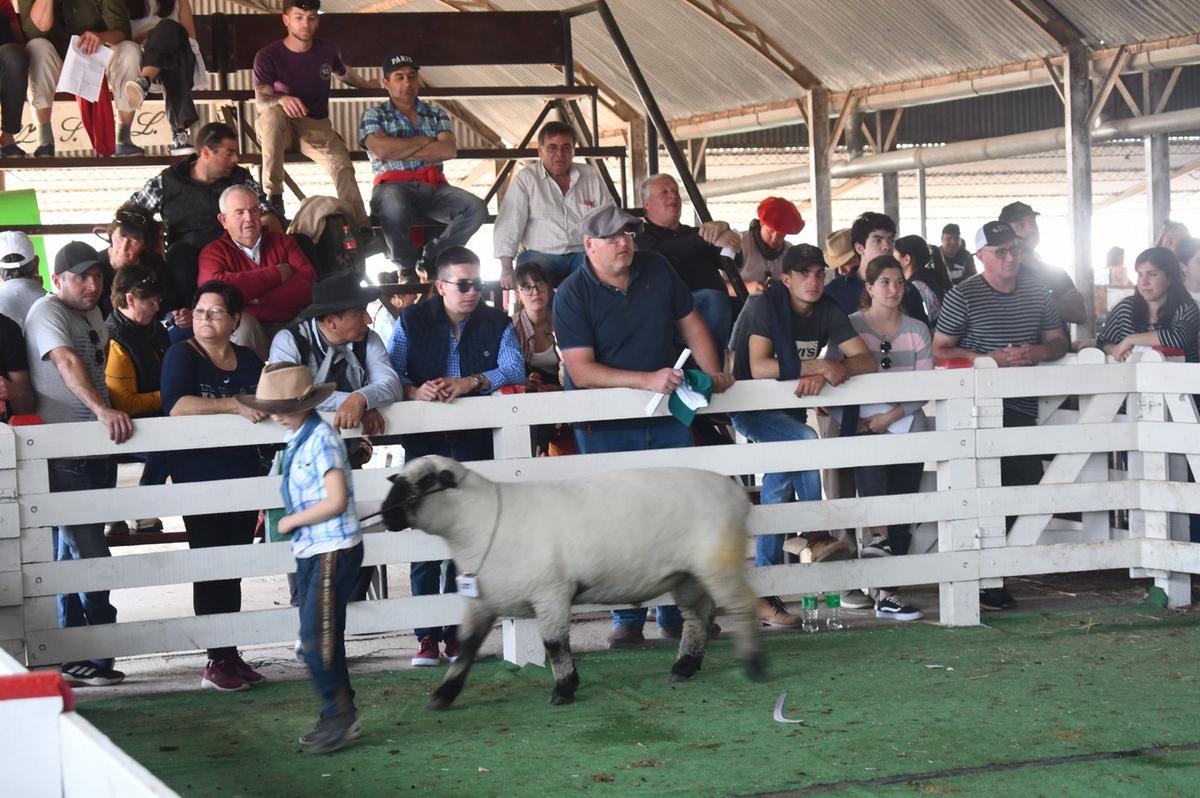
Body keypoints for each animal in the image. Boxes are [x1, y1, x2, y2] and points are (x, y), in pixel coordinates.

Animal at [379, 453, 763, 710]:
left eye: (425, 482)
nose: (385, 514)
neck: (480, 521)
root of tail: (735, 492)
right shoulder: (482, 602)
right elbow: (467, 646)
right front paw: (443, 695)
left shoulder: (551, 593)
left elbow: (553, 645)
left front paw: (564, 688)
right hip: (687, 574)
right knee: (697, 618)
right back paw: (685, 667)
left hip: (719, 562)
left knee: (743, 608)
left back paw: (753, 664)